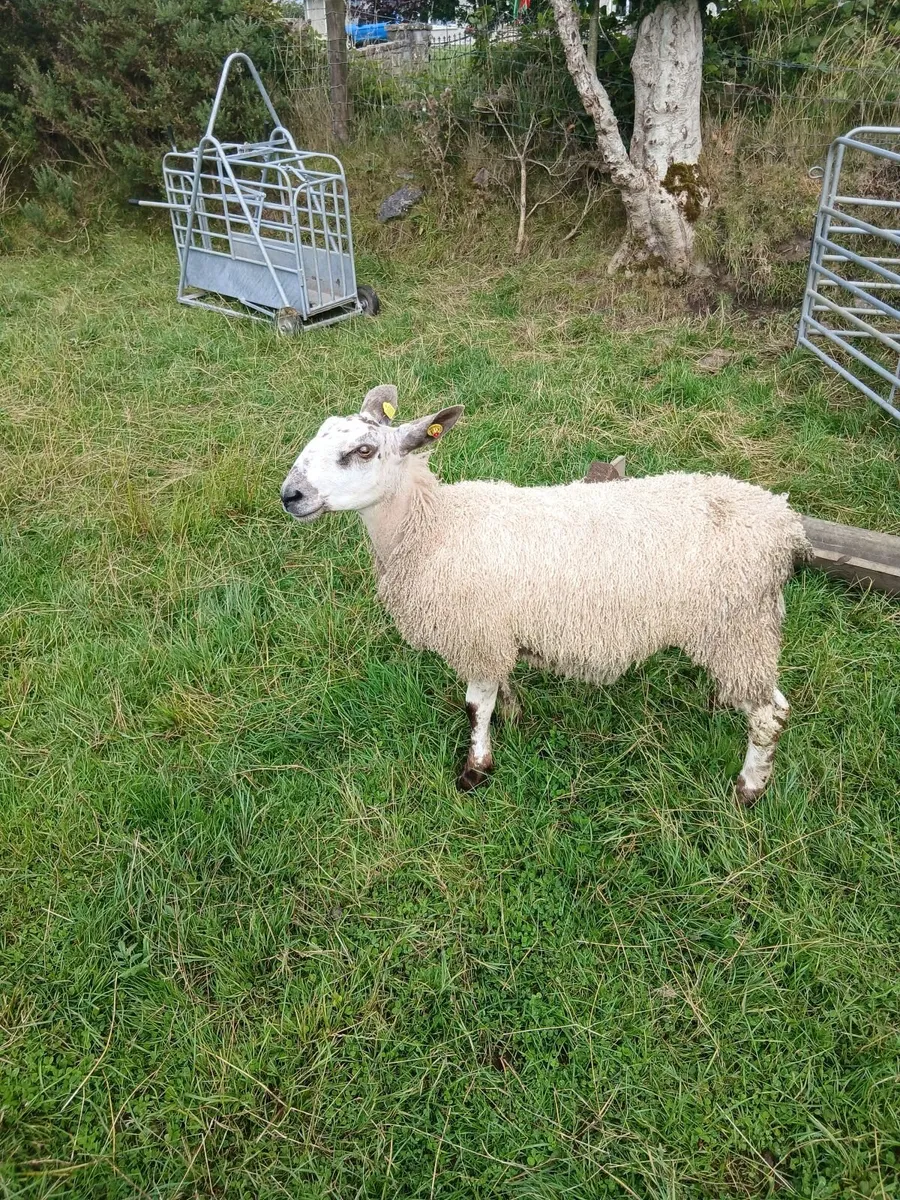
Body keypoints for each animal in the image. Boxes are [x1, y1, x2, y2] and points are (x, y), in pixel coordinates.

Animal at [281, 385, 810, 804]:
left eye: (363, 450)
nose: (290, 495)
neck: (432, 527)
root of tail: (785, 524)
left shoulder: (476, 633)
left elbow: (474, 707)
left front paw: (475, 770)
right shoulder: (494, 634)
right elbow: (498, 689)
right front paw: (513, 714)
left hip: (737, 627)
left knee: (770, 715)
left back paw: (748, 789)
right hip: (740, 631)